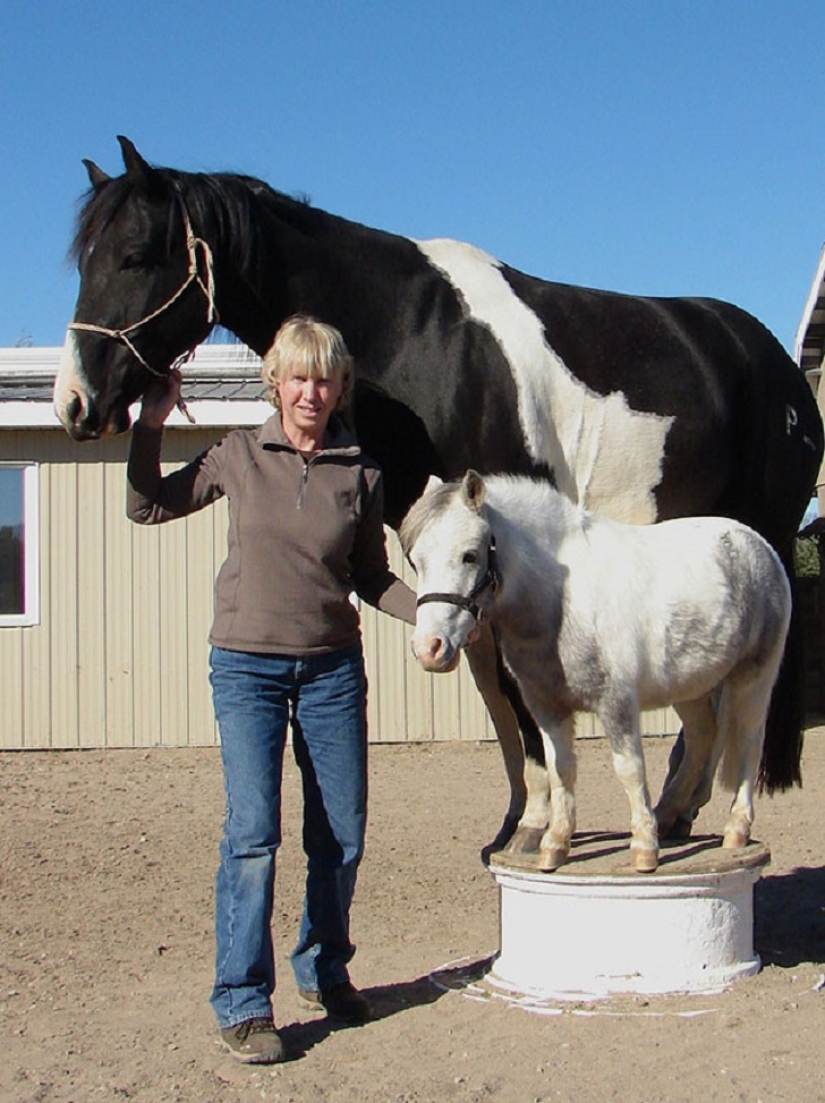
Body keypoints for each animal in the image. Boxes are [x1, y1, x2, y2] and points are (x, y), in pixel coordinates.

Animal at [399, 469, 794, 873]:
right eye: (414, 560)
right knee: (703, 737)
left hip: (753, 678)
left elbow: (630, 769)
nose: (430, 648)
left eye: (470, 555)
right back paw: (668, 817)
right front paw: (555, 845)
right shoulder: (546, 707)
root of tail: (757, 545)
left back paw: (736, 829)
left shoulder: (616, 702)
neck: (561, 599)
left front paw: (644, 850)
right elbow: (561, 768)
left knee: (748, 742)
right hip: (691, 687)